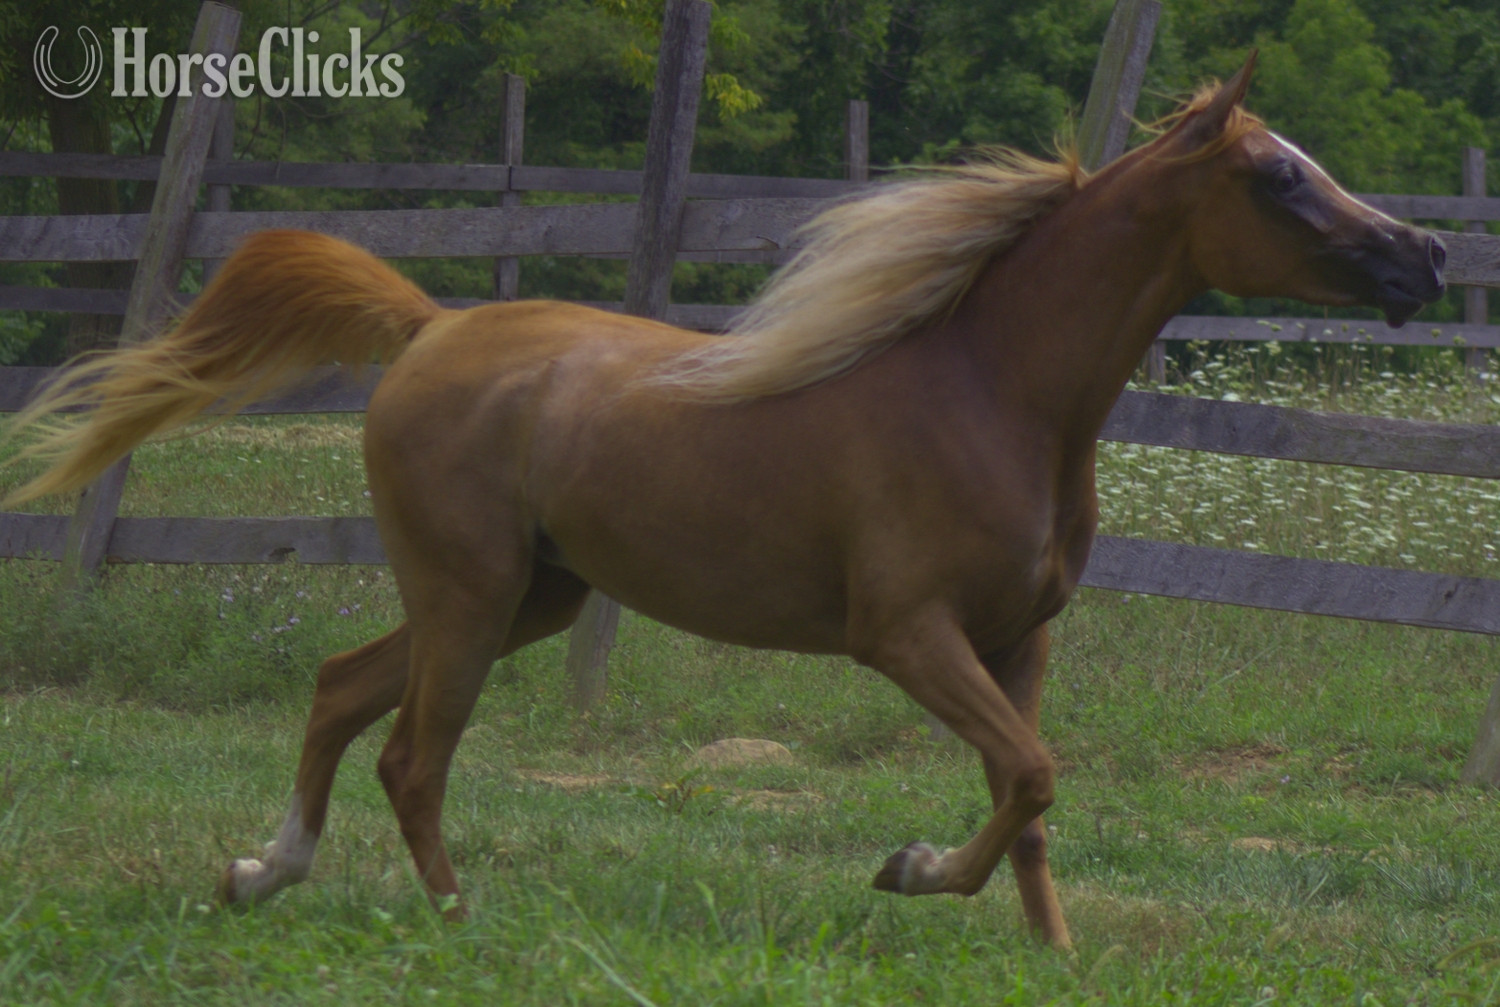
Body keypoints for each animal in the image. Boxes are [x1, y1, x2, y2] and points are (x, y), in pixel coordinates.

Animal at [3, 54, 1444, 950]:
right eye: (1277, 176)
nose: (1423, 255)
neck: (994, 391)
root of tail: (428, 326)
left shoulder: (1019, 638)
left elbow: (1029, 796)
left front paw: (1052, 951)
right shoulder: (906, 634)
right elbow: (1030, 774)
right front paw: (909, 868)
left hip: (525, 594)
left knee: (337, 688)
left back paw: (262, 870)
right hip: (471, 591)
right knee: (411, 753)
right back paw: (460, 919)